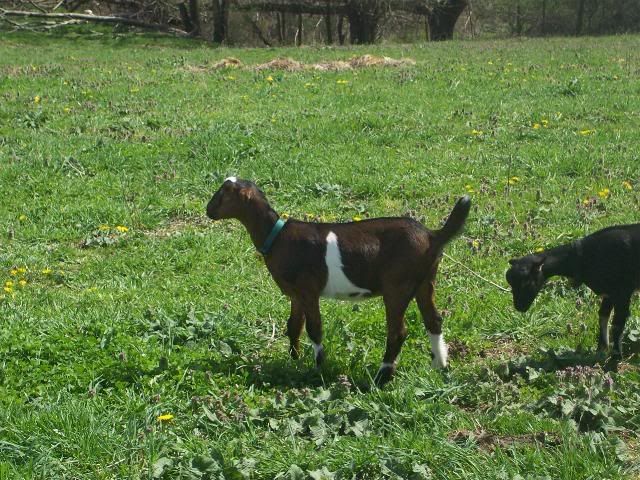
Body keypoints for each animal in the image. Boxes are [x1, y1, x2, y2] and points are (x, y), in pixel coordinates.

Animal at [206, 177, 471, 385]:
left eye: (224, 194)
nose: (208, 210)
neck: (277, 236)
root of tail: (432, 235)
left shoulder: (308, 290)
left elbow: (314, 329)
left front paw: (319, 368)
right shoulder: (296, 294)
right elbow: (293, 326)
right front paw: (294, 361)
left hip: (398, 286)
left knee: (398, 332)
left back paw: (381, 378)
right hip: (425, 282)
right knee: (433, 320)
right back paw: (439, 366)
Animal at [506, 224, 640, 358]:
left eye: (527, 282)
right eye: (511, 284)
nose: (519, 307)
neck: (583, 257)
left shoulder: (622, 292)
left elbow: (617, 324)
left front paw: (616, 357)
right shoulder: (609, 293)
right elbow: (603, 315)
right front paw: (601, 349)